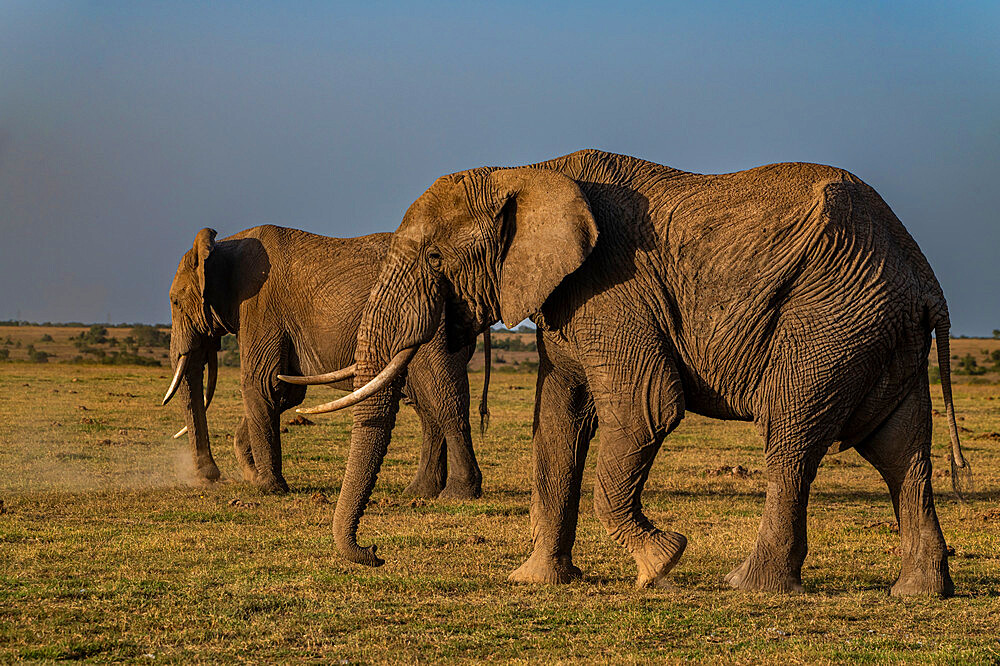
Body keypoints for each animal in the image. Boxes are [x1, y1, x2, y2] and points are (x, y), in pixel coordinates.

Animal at [160, 224, 488, 498]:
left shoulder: (259, 308)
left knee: (443, 397)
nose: (210, 477)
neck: (223, 245)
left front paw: (268, 488)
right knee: (425, 404)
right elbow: (284, 391)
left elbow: (262, 384)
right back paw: (419, 492)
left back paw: (458, 493)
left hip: (432, 326)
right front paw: (253, 475)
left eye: (175, 301)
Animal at [288, 148, 968, 592]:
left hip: (831, 317)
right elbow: (556, 422)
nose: (375, 555)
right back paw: (919, 592)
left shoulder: (614, 287)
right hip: (876, 327)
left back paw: (747, 586)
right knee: (901, 452)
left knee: (792, 436)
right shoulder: (565, 300)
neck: (526, 171)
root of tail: (926, 278)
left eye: (433, 258)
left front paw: (660, 565)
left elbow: (646, 410)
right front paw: (538, 580)